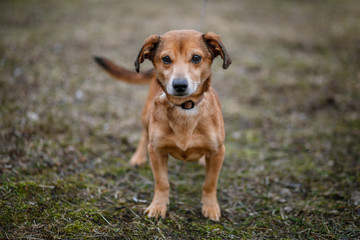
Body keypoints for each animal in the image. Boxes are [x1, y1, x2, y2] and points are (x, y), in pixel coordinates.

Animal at [94, 29, 232, 221]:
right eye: (166, 59)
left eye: (196, 58)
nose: (179, 85)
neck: (185, 108)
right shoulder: (157, 151)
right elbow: (162, 182)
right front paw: (158, 206)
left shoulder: (218, 151)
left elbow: (210, 183)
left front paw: (210, 207)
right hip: (146, 116)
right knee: (144, 135)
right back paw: (138, 158)